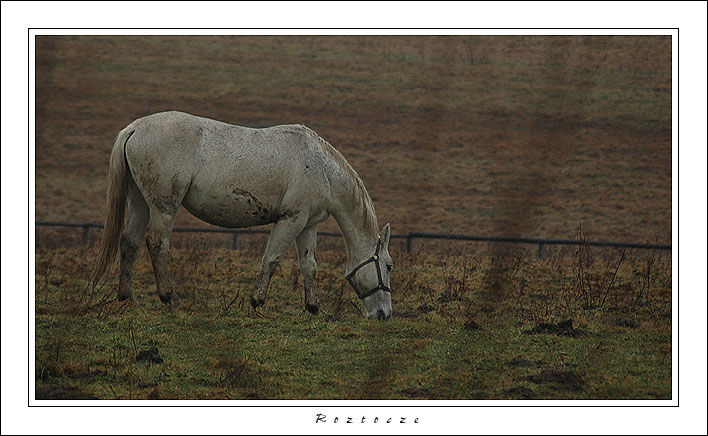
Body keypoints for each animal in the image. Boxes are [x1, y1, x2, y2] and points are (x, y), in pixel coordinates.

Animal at [90, 110, 392, 318]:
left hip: (141, 202)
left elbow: (309, 266)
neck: (321, 167)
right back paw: (170, 297)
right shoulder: (290, 220)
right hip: (163, 207)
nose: (384, 315)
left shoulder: (307, 225)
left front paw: (313, 306)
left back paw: (126, 297)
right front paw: (257, 301)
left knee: (129, 243)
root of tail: (134, 128)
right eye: (389, 266)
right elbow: (271, 260)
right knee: (156, 245)